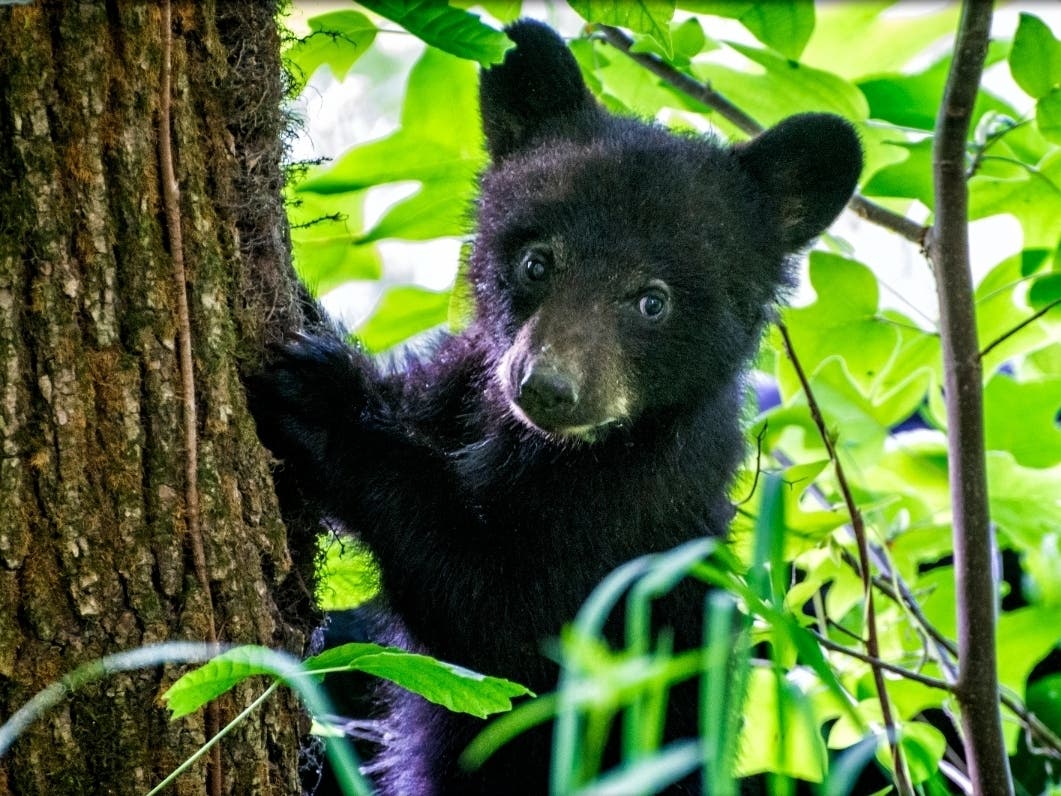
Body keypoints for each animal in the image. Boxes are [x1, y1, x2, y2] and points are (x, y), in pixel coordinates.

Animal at [249, 18, 862, 796]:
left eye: (652, 300)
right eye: (537, 261)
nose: (546, 386)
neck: (547, 449)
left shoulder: (628, 528)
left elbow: (500, 621)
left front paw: (323, 402)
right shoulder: (458, 389)